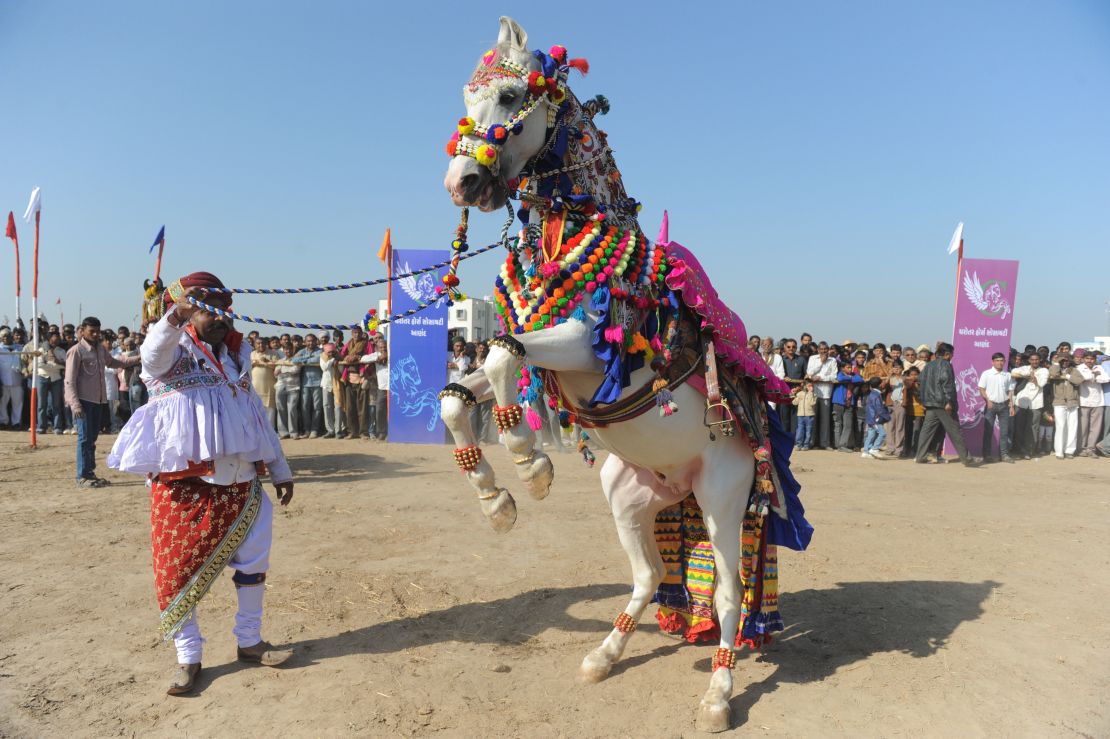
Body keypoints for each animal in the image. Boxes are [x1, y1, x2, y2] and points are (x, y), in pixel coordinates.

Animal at [437, 17, 812, 732]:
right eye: (465, 100)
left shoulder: (589, 346)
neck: (574, 234)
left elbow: (500, 355)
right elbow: (459, 395)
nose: (462, 182)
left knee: (729, 594)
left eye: (508, 97)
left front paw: (530, 462)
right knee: (646, 574)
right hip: (629, 495)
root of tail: (686, 487)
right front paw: (496, 501)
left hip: (722, 499)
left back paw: (718, 694)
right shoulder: (544, 352)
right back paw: (604, 653)